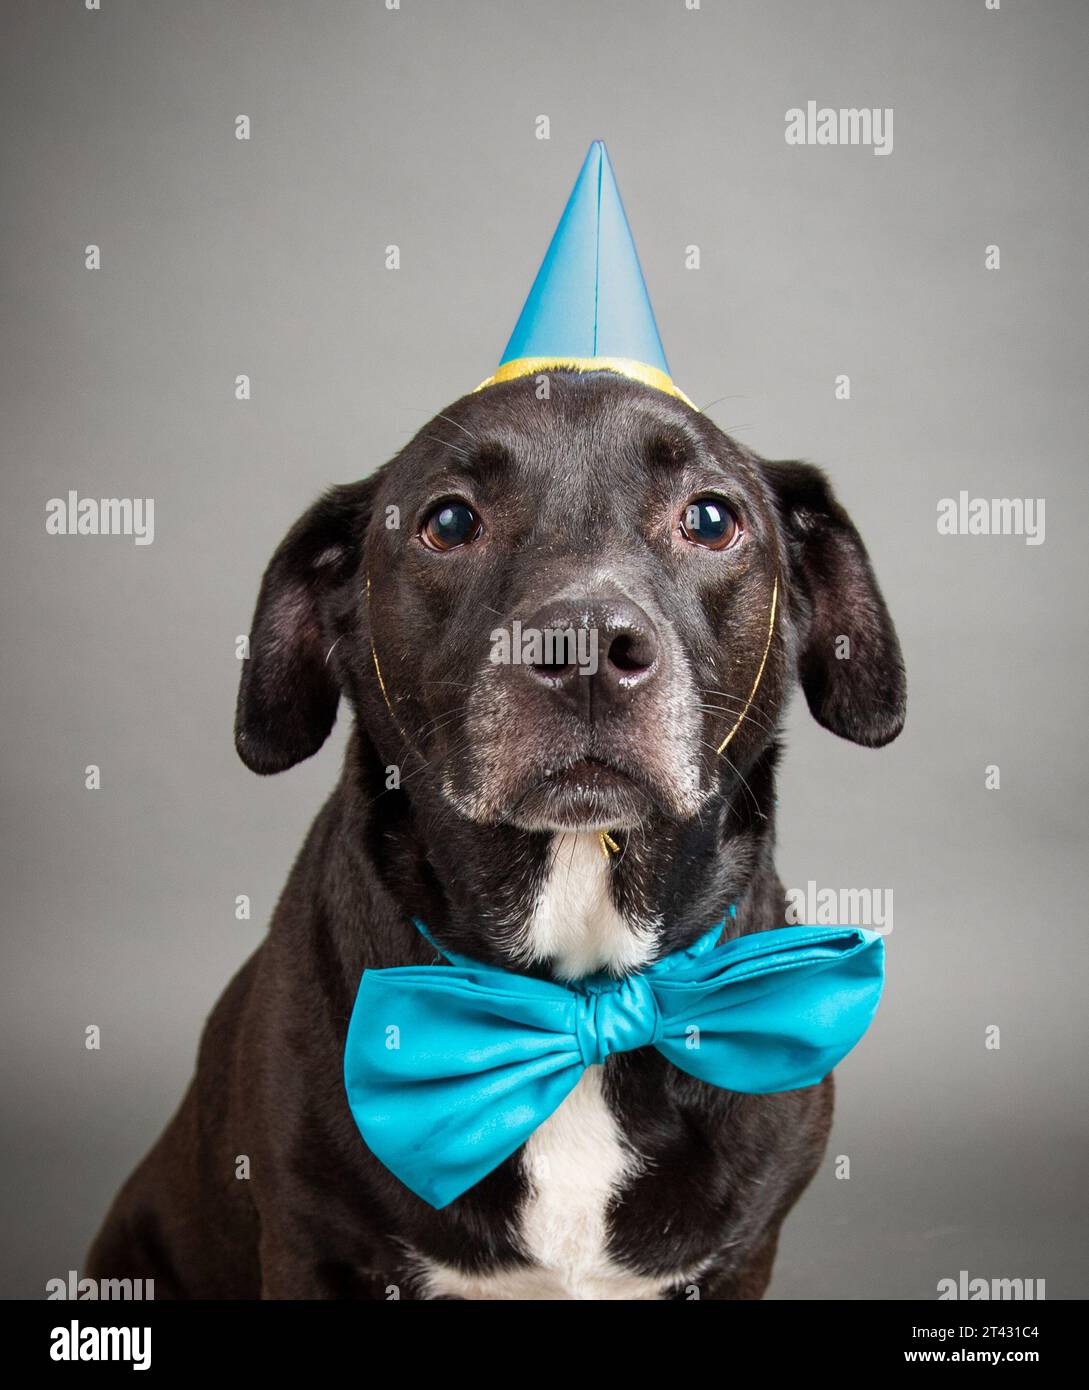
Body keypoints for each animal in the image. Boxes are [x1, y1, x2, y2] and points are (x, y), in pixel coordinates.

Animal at [85, 372, 906, 1301]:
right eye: (448, 522)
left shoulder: (738, 1257)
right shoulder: (308, 1249)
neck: (579, 995)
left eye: (708, 518)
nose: (585, 645)